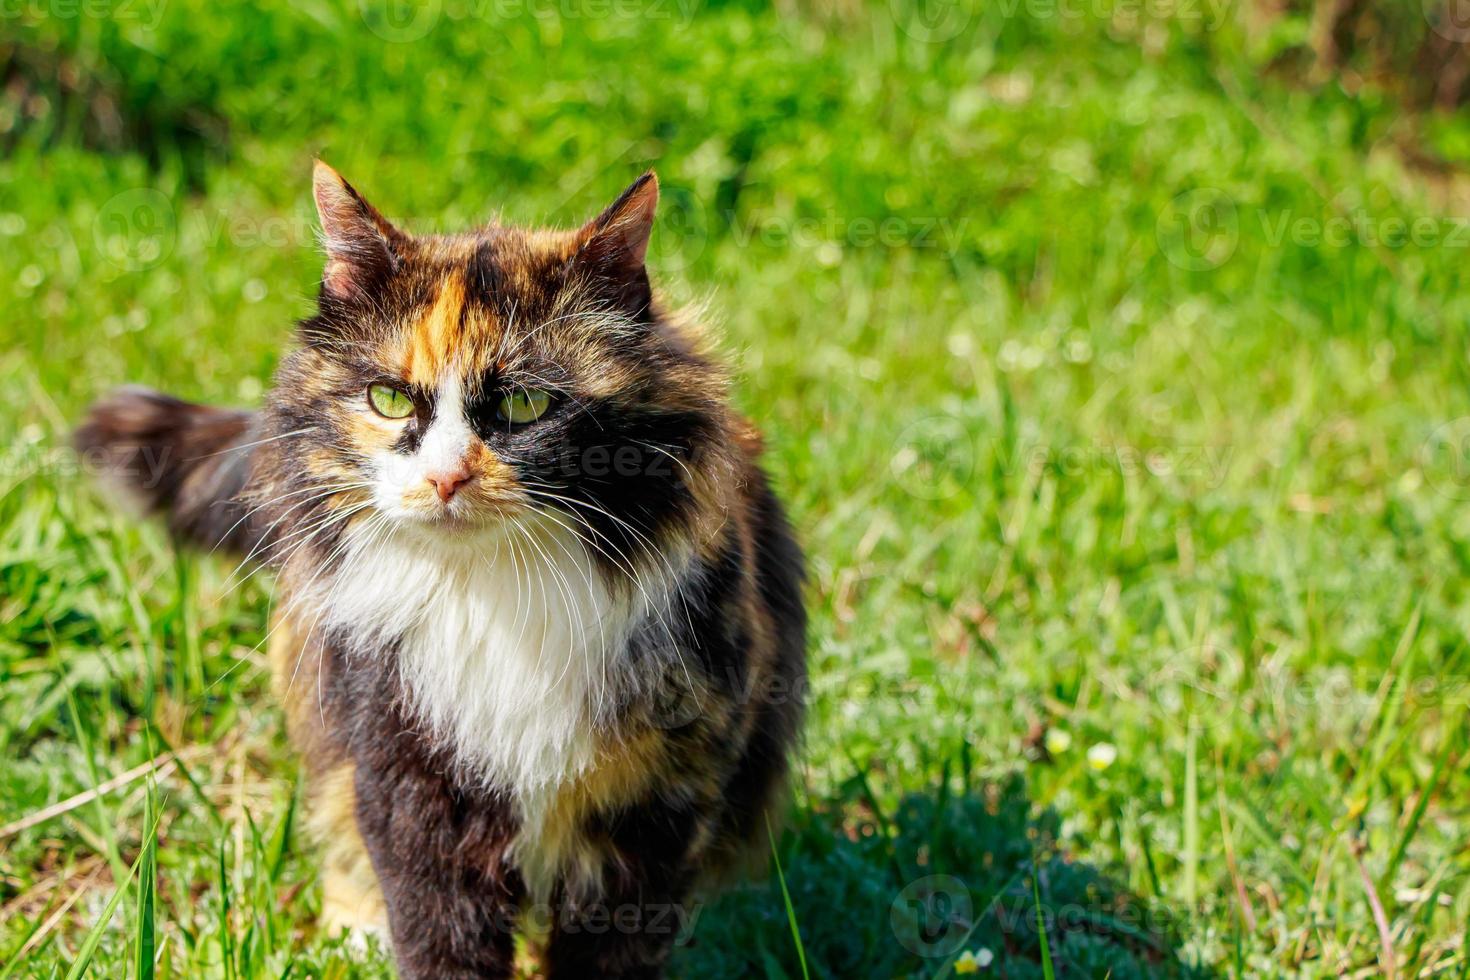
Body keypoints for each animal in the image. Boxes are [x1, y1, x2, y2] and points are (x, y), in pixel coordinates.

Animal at [74, 163, 811, 980]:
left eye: (527, 404)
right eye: (388, 399)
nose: (445, 478)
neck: (495, 600)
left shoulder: (657, 802)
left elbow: (612, 948)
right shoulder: (404, 773)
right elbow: (437, 933)